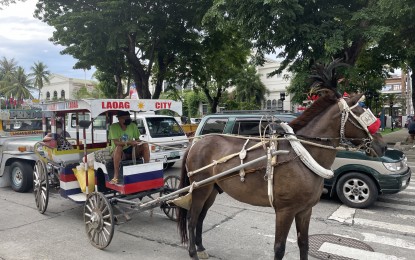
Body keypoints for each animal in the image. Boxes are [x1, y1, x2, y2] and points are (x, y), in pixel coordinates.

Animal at [178, 91, 386, 258]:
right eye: (361, 115)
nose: (382, 145)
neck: (302, 156)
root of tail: (196, 142)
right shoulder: (285, 211)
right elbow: (279, 248)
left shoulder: (305, 210)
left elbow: (304, 244)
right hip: (200, 189)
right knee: (192, 218)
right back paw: (193, 252)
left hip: (212, 190)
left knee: (201, 218)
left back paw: (201, 248)